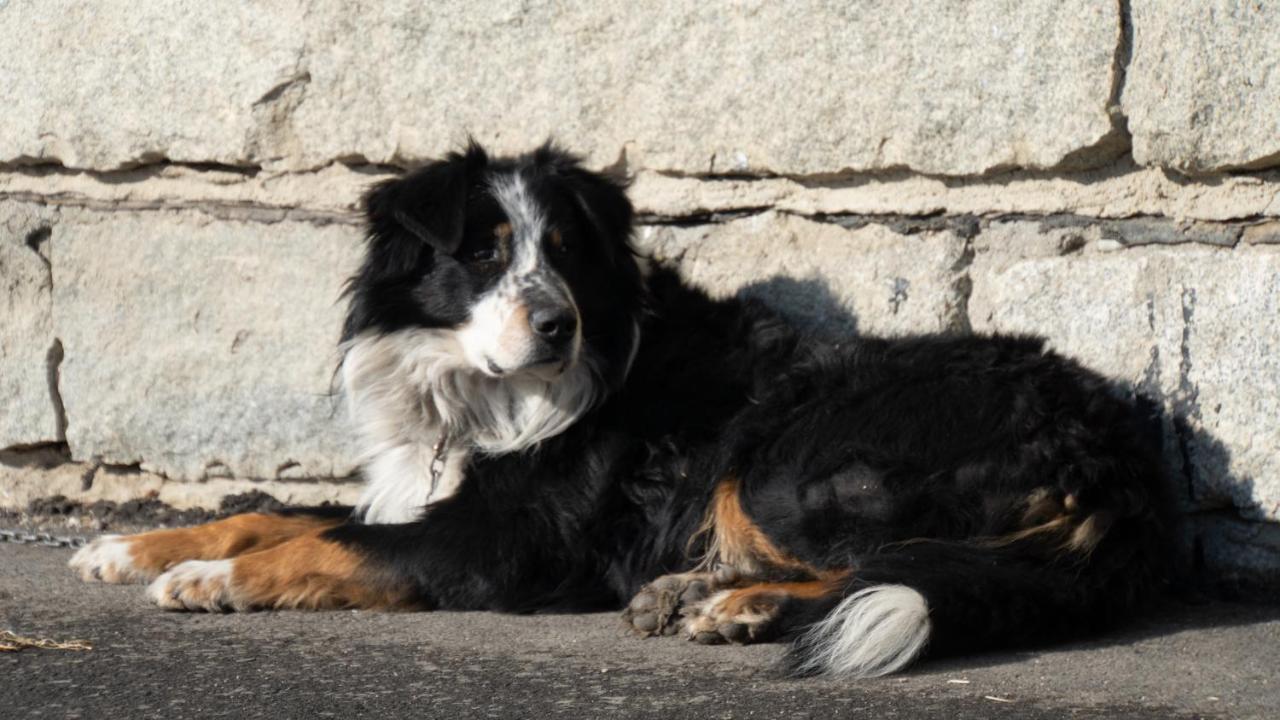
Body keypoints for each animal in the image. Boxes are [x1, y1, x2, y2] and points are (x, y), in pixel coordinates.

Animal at [67, 140, 1172, 671]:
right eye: (482, 254)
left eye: (562, 252)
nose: (556, 326)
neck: (481, 391)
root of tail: (1109, 444)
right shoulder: (415, 487)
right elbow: (277, 511)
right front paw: (133, 547)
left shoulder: (494, 539)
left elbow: (324, 544)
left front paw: (209, 579)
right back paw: (693, 594)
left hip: (785, 457)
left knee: (882, 565)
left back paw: (736, 606)